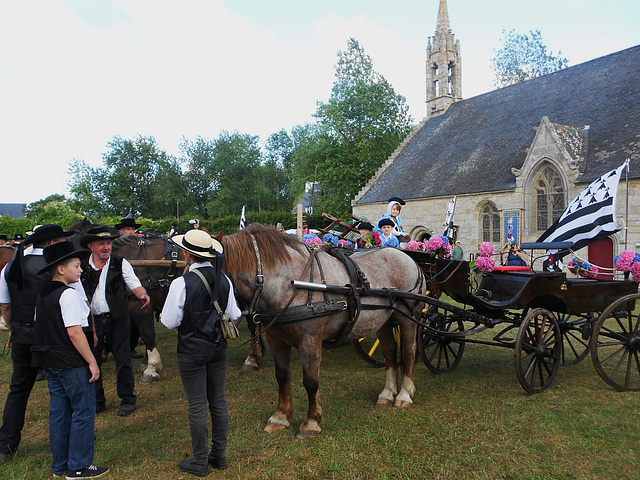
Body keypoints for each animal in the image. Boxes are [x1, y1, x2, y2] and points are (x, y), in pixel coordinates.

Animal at [222, 225, 428, 438]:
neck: (291, 282)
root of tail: (409, 259)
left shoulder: (310, 340)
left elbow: (311, 381)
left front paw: (311, 422)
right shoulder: (275, 339)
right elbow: (282, 376)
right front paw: (280, 417)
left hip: (407, 317)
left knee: (408, 351)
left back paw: (404, 394)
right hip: (383, 320)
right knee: (389, 351)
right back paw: (387, 393)